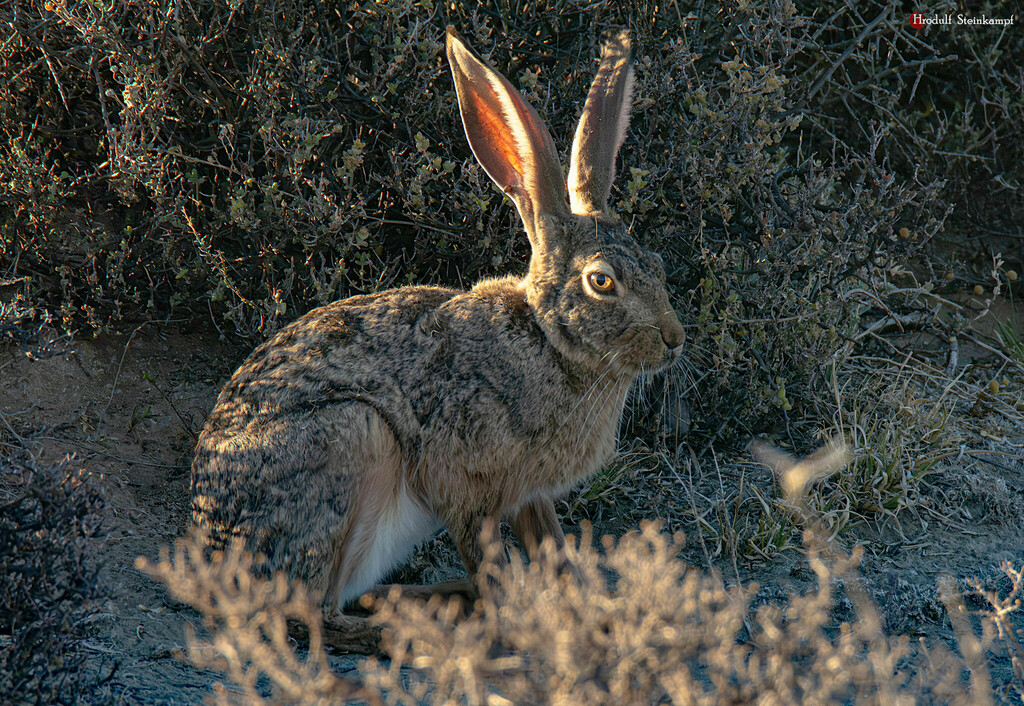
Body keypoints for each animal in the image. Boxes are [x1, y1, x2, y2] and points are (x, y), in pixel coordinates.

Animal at [190, 26, 685, 623]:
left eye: (658, 264)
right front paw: (514, 619)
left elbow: (554, 549)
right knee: (321, 613)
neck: (548, 342)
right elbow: (490, 564)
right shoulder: (464, 487)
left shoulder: (528, 496)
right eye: (601, 282)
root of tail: (210, 556)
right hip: (352, 437)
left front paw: (587, 611)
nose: (675, 341)